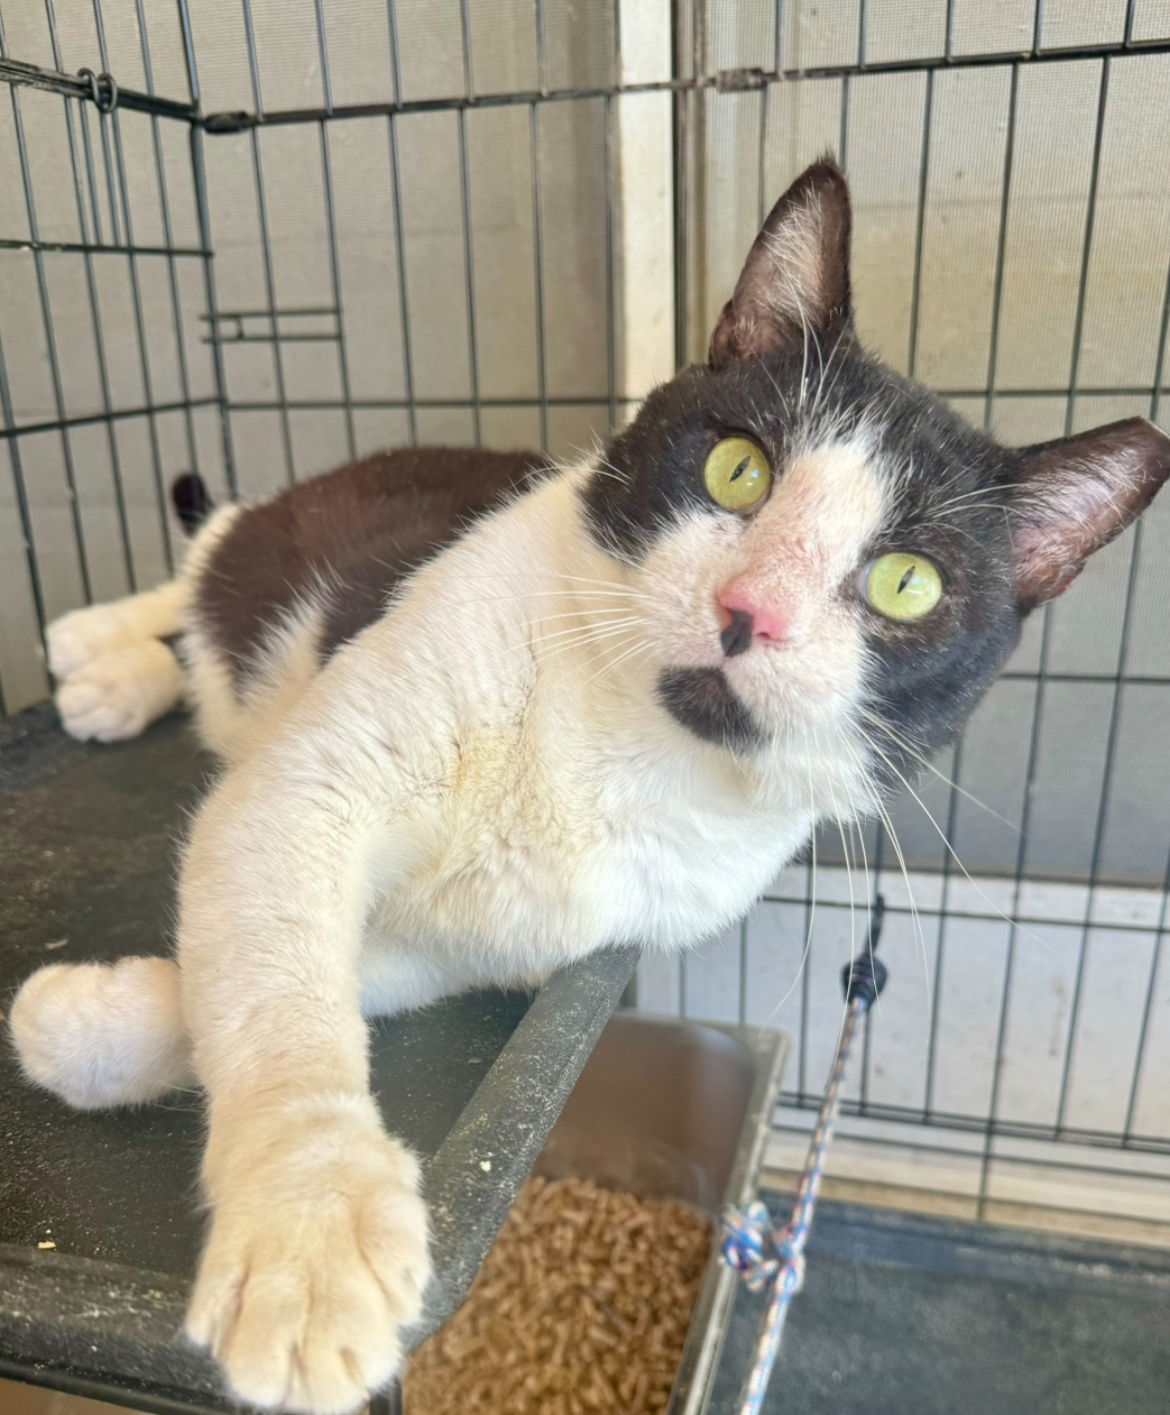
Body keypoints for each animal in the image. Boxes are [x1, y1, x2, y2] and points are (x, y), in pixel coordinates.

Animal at [11, 160, 1170, 1409]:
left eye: (907, 582)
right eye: (738, 467)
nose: (750, 610)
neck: (621, 741)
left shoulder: (525, 934)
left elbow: (340, 972)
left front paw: (92, 1028)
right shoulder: (320, 771)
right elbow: (279, 976)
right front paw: (307, 1239)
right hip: (283, 543)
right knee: (210, 556)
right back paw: (99, 648)